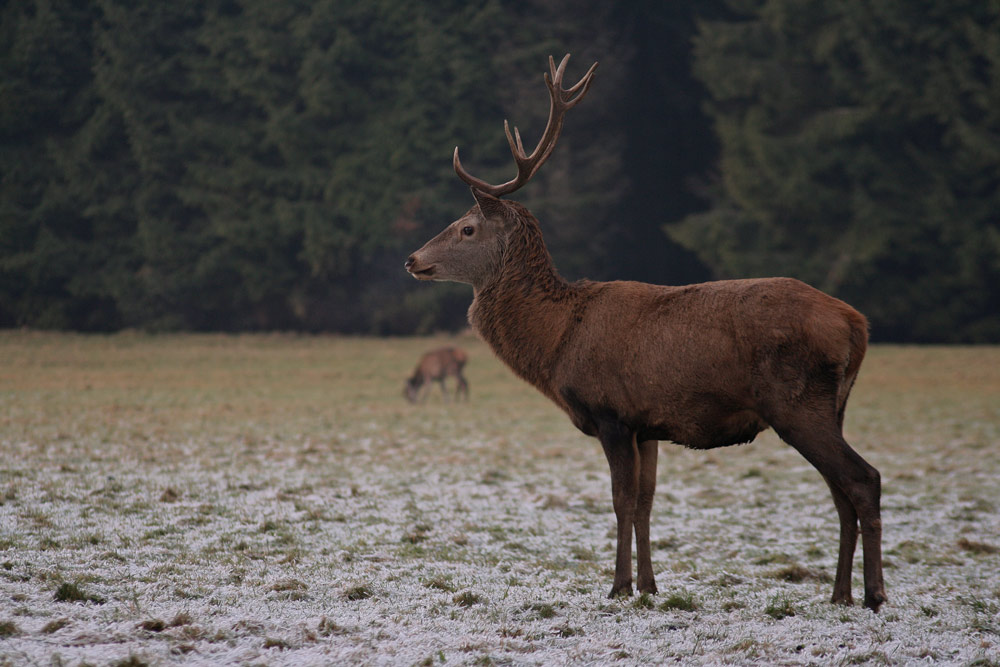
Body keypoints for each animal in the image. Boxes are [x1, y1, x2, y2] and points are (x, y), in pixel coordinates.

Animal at [402, 54, 888, 612]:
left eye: (466, 228)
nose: (412, 259)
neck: (557, 340)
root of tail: (857, 324)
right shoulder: (648, 423)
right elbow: (646, 503)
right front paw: (650, 586)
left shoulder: (611, 412)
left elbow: (620, 500)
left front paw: (617, 586)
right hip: (834, 405)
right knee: (840, 491)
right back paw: (839, 594)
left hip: (796, 400)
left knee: (863, 478)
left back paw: (873, 594)